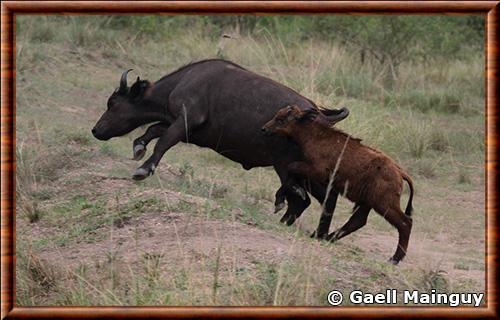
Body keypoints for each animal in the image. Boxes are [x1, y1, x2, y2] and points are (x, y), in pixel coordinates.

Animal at [92, 58, 348, 236]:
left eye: (112, 103)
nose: (95, 130)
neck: (185, 81)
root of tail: (323, 117)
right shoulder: (183, 127)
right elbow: (154, 130)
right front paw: (138, 147)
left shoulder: (186, 120)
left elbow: (163, 141)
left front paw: (143, 169)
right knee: (319, 199)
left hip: (285, 167)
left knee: (302, 200)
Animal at [262, 106, 414, 264]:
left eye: (281, 119)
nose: (264, 129)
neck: (316, 136)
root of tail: (399, 172)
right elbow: (293, 172)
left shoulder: (315, 171)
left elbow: (292, 168)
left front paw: (284, 199)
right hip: (368, 203)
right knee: (358, 221)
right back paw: (326, 237)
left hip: (384, 204)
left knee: (405, 223)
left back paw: (395, 259)